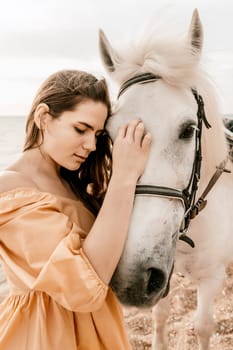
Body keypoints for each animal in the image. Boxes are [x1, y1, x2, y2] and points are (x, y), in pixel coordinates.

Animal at [98, 8, 233, 350]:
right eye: (108, 135)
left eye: (188, 129)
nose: (131, 280)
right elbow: (160, 316)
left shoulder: (212, 278)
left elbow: (203, 327)